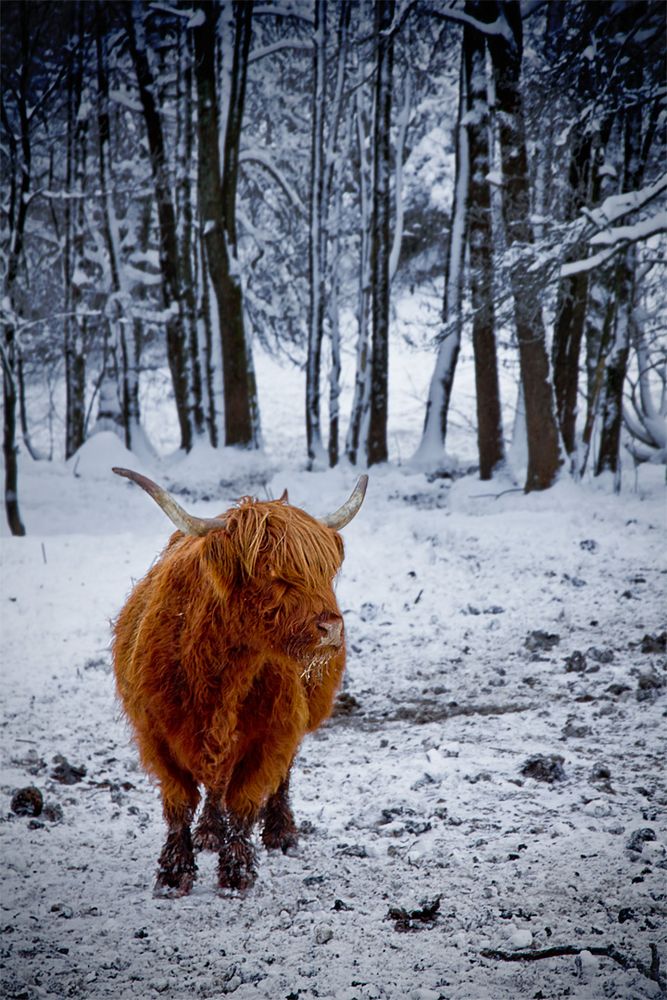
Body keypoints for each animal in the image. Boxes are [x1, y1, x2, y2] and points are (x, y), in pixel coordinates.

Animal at [111, 468, 368, 900]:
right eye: (272, 573)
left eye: (326, 570)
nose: (332, 629)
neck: (219, 675)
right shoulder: (156, 734)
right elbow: (179, 802)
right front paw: (173, 874)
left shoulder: (271, 734)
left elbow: (245, 802)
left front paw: (237, 874)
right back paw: (209, 832)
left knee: (278, 776)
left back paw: (281, 834)